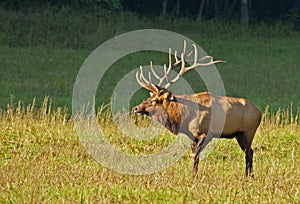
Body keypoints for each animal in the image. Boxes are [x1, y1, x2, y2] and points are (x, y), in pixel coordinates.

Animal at [132, 40, 262, 176]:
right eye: (149, 97)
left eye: (154, 100)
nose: (136, 108)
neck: (184, 119)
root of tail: (260, 112)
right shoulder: (192, 136)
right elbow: (194, 155)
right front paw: (194, 174)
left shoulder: (204, 132)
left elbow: (195, 155)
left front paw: (194, 176)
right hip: (239, 135)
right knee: (249, 151)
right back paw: (249, 175)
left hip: (248, 131)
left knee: (249, 152)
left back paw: (248, 176)